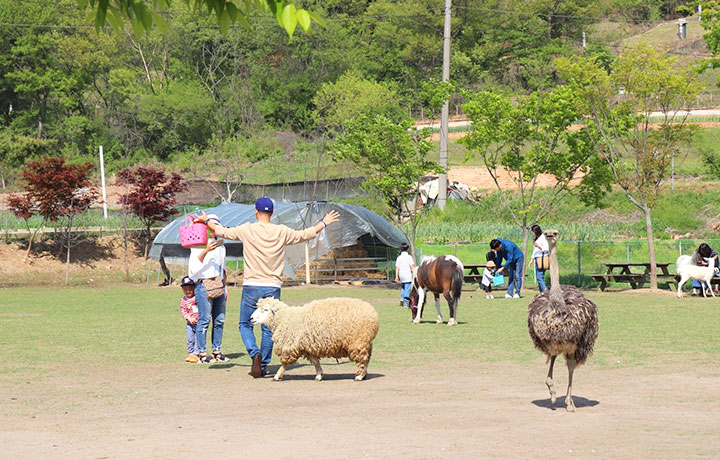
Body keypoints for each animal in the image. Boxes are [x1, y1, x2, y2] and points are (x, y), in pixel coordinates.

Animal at [250, 298, 380, 380]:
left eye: (266, 310)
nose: (251, 318)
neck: (286, 318)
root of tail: (373, 313)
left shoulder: (291, 345)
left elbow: (284, 363)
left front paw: (277, 376)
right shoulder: (307, 346)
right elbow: (315, 361)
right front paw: (319, 375)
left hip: (358, 341)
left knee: (362, 359)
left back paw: (359, 376)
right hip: (365, 342)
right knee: (367, 358)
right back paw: (363, 374)